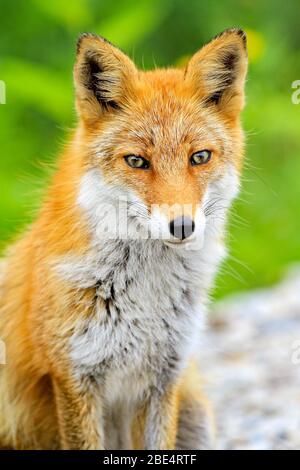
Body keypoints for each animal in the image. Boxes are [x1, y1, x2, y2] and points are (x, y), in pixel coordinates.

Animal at [0, 28, 247, 448]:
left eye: (199, 157)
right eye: (136, 161)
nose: (182, 225)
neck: (145, 295)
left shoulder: (164, 376)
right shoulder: (73, 376)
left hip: (195, 415)